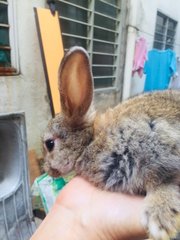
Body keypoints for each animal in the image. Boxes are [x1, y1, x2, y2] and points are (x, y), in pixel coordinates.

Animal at [43, 46, 180, 240]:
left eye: (49, 144)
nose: (48, 170)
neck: (90, 141)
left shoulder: (156, 144)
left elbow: (161, 181)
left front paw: (160, 219)